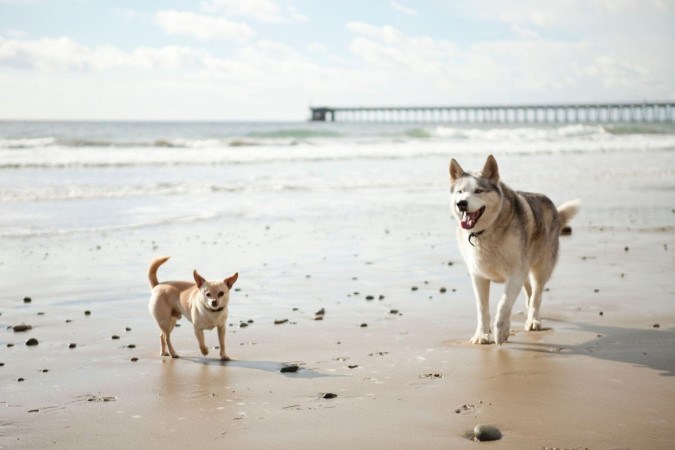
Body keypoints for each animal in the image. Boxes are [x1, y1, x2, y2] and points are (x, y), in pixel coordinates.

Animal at [452, 155, 580, 344]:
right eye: (460, 192)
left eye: (478, 191)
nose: (461, 204)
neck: (485, 231)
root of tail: (552, 205)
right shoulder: (479, 276)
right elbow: (482, 308)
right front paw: (482, 334)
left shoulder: (515, 274)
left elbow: (504, 303)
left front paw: (501, 331)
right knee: (529, 291)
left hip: (541, 267)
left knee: (537, 295)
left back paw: (533, 320)